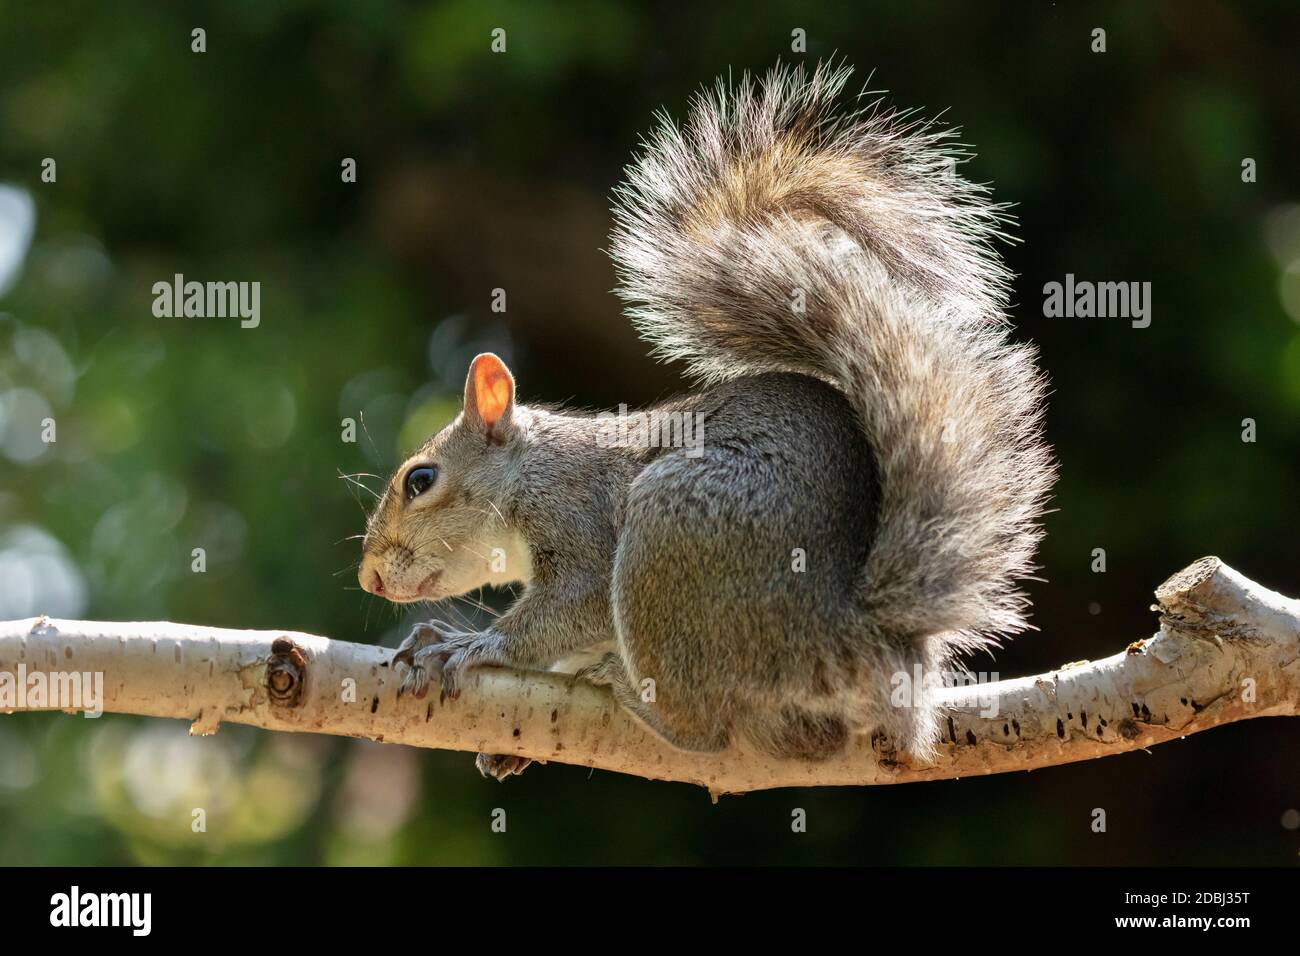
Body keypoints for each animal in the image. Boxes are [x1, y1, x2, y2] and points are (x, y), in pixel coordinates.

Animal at [358, 57, 1055, 780]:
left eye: (420, 480)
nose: (368, 577)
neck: (532, 470)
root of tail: (853, 641)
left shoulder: (579, 519)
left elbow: (572, 605)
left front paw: (473, 645)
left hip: (673, 530)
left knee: (705, 730)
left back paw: (634, 695)